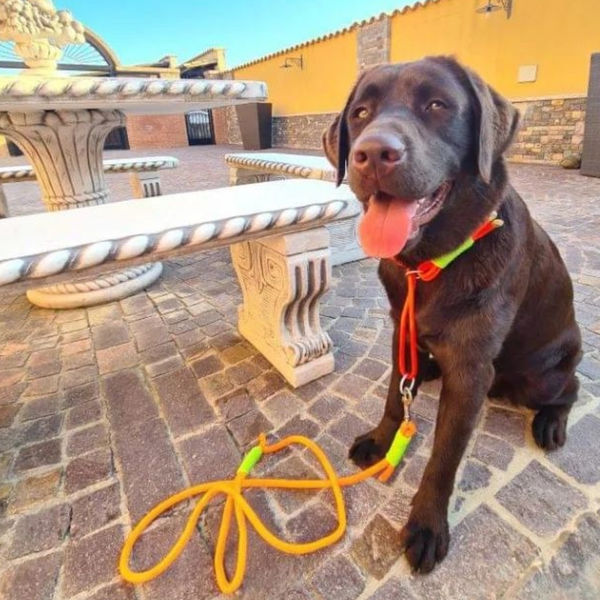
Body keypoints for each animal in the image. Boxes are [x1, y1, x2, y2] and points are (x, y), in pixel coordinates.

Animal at [322, 56, 582, 573]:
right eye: (360, 113)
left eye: (438, 105)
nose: (372, 153)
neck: (431, 263)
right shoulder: (398, 333)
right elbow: (393, 397)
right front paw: (382, 439)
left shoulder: (470, 369)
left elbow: (444, 456)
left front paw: (426, 524)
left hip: (542, 376)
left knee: (572, 387)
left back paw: (551, 422)